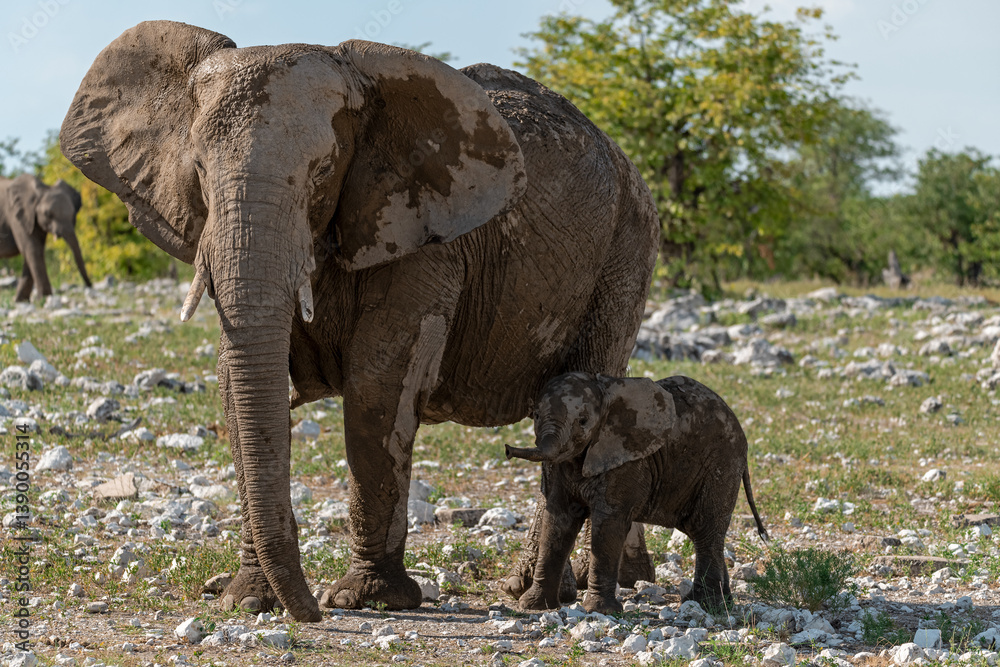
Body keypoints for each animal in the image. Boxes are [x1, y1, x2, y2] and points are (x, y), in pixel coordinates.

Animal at [60, 21, 660, 622]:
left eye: (323, 171)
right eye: (201, 172)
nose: (310, 613)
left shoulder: (422, 228)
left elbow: (379, 383)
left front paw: (367, 598)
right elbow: (236, 387)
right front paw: (248, 599)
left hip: (625, 254)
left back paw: (540, 594)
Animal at [505, 373, 768, 614]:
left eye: (583, 421)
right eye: (536, 415)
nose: (507, 449)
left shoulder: (627, 459)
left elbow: (608, 523)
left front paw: (599, 611)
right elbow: (558, 521)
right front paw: (533, 606)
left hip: (721, 465)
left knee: (705, 529)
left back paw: (704, 605)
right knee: (702, 532)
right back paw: (721, 603)